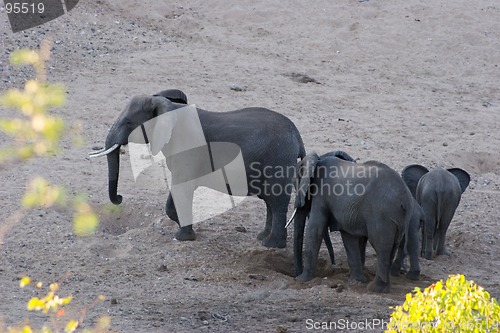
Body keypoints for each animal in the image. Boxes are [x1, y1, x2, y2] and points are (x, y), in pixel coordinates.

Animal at [90, 88, 304, 246]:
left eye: (128, 123)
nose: (119, 198)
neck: (168, 106)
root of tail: (298, 137)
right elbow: (176, 192)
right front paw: (186, 229)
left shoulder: (187, 148)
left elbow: (182, 187)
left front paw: (183, 237)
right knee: (269, 202)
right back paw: (262, 237)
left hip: (278, 159)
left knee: (276, 201)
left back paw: (271, 245)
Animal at [292, 152, 414, 292]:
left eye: (295, 184)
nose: (295, 276)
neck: (318, 159)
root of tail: (405, 199)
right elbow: (349, 237)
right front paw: (357, 280)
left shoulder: (321, 193)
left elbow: (315, 228)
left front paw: (302, 280)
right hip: (398, 218)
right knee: (392, 246)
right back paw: (383, 288)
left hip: (382, 214)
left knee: (381, 245)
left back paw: (374, 288)